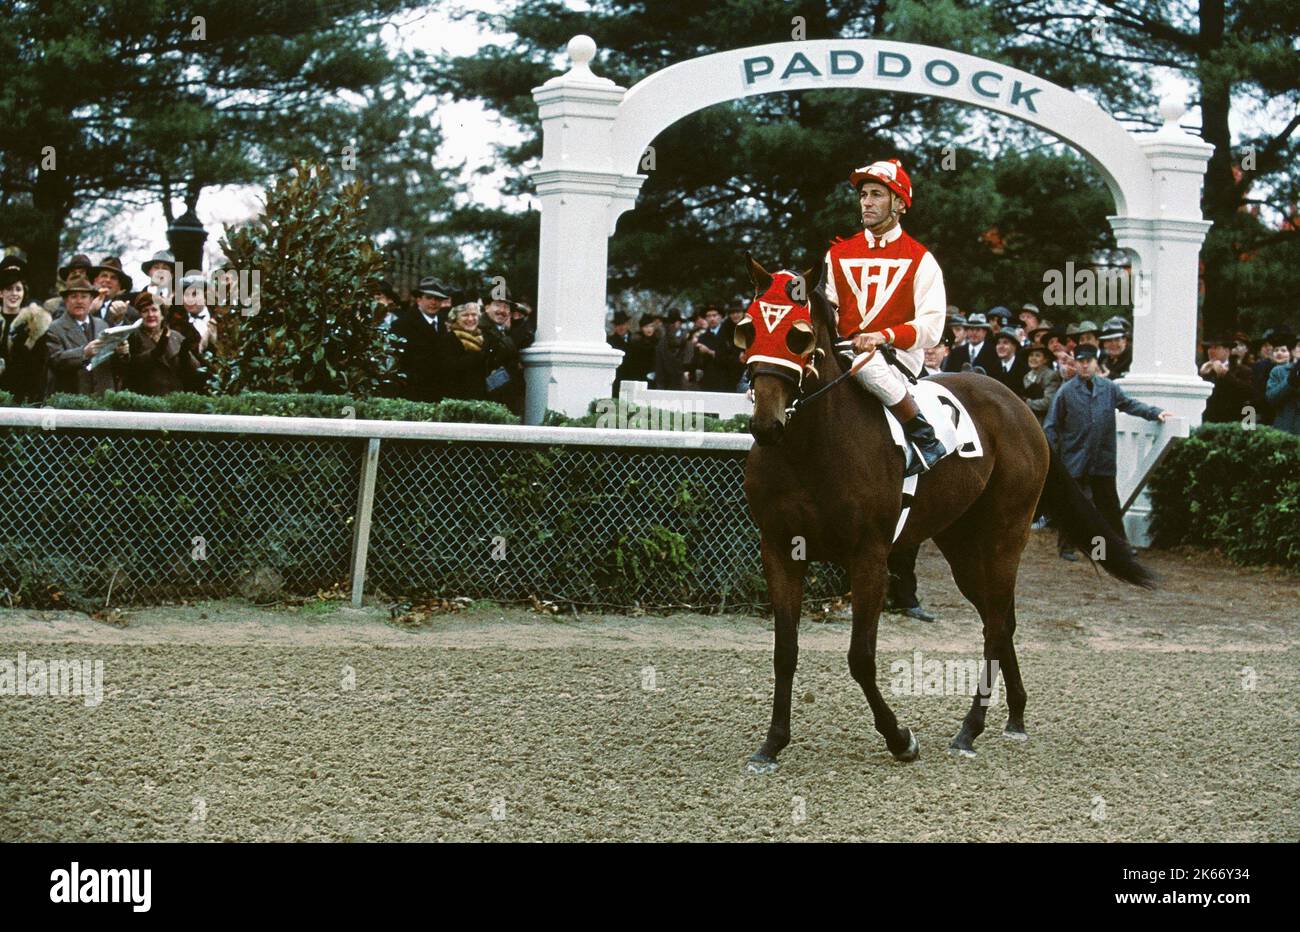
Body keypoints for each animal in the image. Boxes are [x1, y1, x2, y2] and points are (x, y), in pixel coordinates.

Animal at [738, 254, 1154, 764]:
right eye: (748, 328)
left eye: (798, 334)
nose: (766, 423)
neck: (808, 450)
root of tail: (1019, 407)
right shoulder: (779, 550)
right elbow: (785, 651)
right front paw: (773, 742)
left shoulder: (868, 556)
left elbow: (861, 657)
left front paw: (901, 738)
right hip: (962, 546)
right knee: (1001, 620)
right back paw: (1014, 716)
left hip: (1005, 536)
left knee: (995, 624)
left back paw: (970, 728)